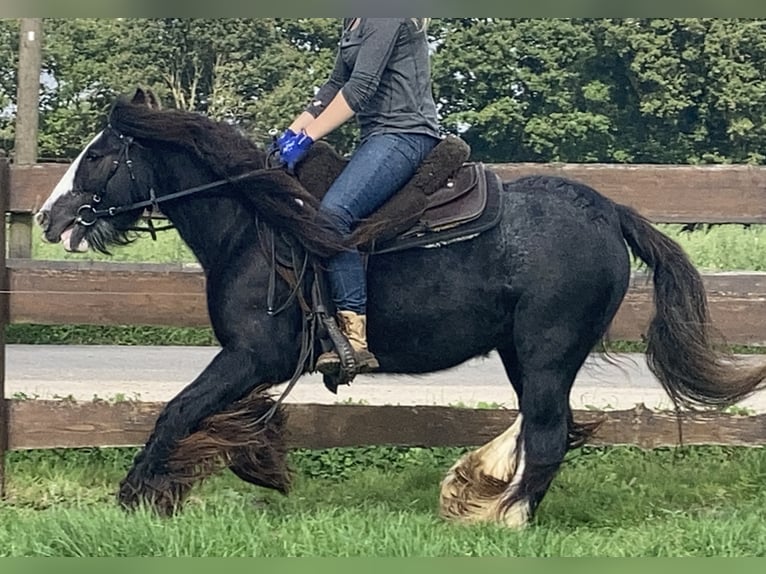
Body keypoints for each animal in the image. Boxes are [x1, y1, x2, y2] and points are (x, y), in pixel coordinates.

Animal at [37, 89, 766, 528]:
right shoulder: (255, 363)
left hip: (547, 350)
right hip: (523, 353)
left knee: (549, 433)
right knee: (544, 429)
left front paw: (138, 494)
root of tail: (609, 211)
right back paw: (481, 487)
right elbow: (227, 419)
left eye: (98, 155)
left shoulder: (250, 355)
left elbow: (179, 411)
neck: (255, 225)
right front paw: (251, 466)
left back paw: (505, 518)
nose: (49, 217)